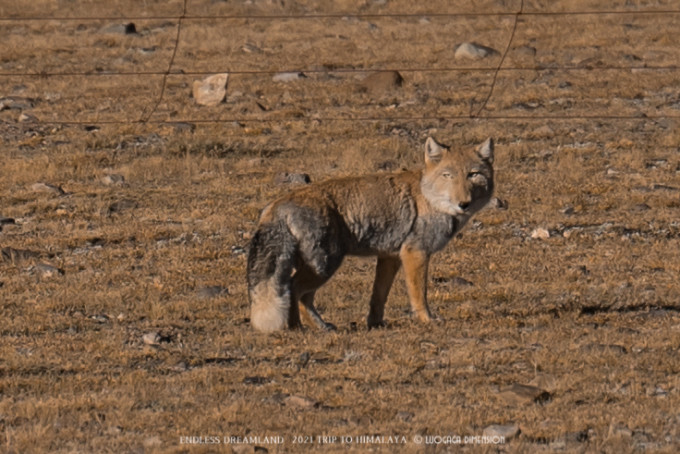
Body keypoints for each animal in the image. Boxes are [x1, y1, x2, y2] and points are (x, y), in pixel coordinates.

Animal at [247, 137, 494, 332]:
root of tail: (275, 205)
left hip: (319, 268)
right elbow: (419, 294)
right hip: (324, 265)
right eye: (448, 175)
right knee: (293, 288)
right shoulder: (416, 253)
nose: (464, 204)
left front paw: (375, 324)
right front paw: (427, 319)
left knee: (302, 297)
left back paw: (321, 326)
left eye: (473, 175)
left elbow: (378, 296)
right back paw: (296, 328)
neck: (429, 198)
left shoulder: (390, 257)